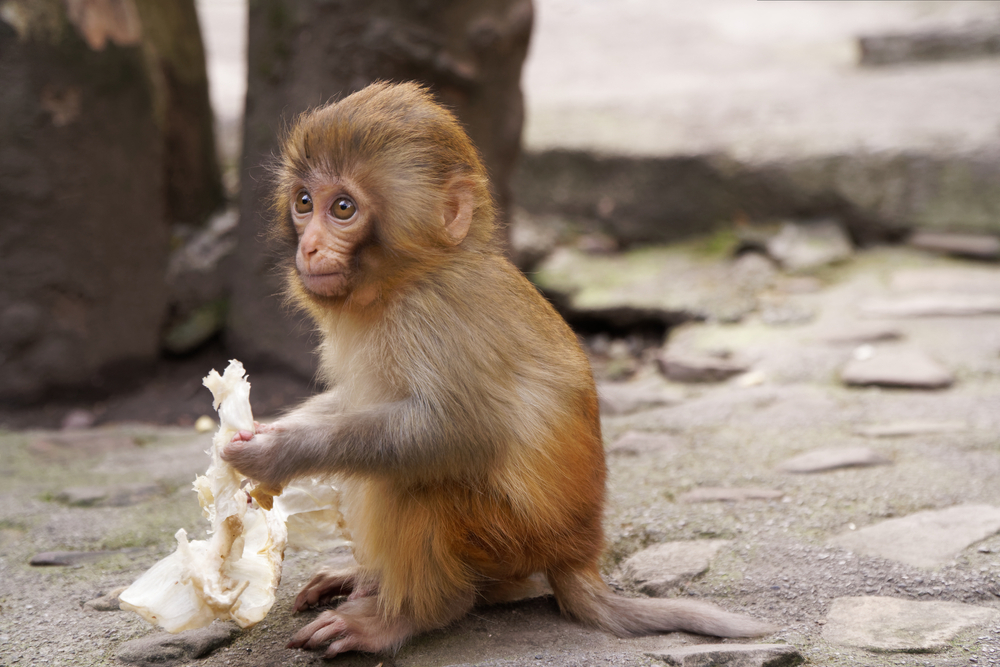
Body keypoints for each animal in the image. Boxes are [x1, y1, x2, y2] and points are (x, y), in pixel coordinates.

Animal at [221, 81, 775, 657]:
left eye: (344, 208)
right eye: (305, 202)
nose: (309, 246)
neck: (407, 278)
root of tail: (579, 553)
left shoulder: (434, 315)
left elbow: (455, 431)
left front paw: (279, 453)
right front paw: (266, 430)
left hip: (511, 540)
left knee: (412, 480)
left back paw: (407, 614)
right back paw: (369, 581)